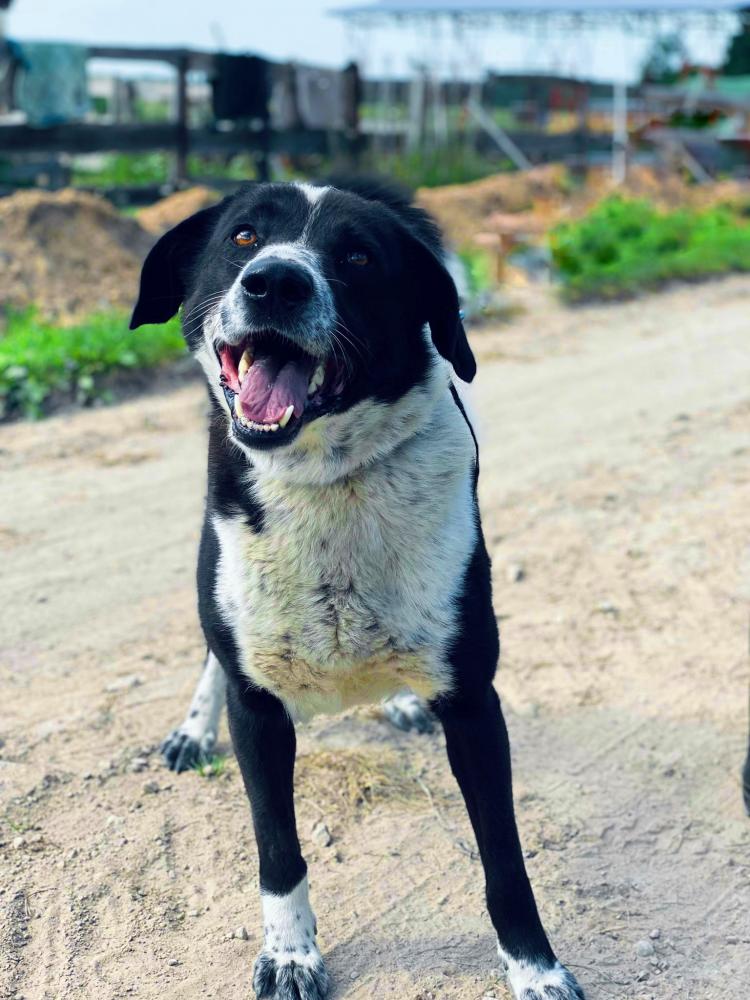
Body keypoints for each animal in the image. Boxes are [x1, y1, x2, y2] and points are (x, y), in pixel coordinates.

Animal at [130, 178, 586, 1000]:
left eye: (359, 257)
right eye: (243, 237)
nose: (275, 282)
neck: (327, 478)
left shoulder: (474, 703)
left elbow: (505, 861)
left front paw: (535, 970)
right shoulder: (257, 707)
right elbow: (278, 851)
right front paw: (290, 956)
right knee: (214, 653)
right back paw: (192, 729)